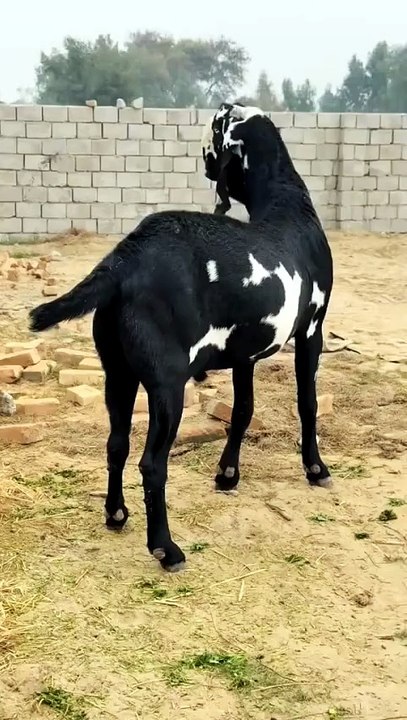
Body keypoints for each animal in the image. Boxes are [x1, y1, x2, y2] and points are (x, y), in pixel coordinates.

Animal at [28, 103, 333, 573]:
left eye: (214, 128)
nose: (203, 157)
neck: (287, 205)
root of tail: (124, 261)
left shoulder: (244, 354)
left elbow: (242, 411)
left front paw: (228, 475)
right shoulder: (312, 329)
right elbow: (308, 404)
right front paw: (316, 469)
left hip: (118, 376)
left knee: (116, 444)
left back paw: (116, 514)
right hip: (168, 386)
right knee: (152, 465)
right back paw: (165, 548)